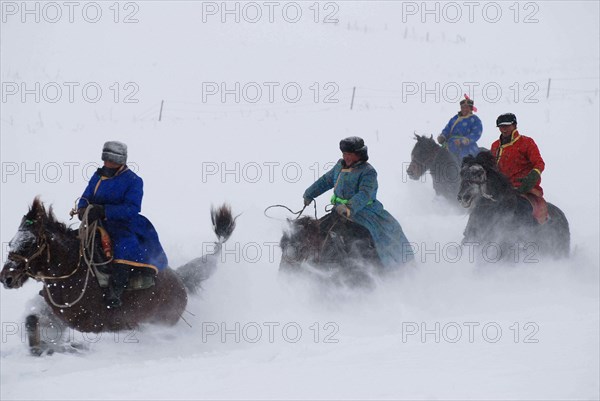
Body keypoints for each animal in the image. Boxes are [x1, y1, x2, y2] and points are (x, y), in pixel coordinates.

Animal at [1, 197, 236, 354]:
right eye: (12, 242)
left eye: (30, 244)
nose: (6, 278)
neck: (72, 272)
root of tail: (180, 280)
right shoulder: (58, 312)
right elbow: (33, 319)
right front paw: (40, 347)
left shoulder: (89, 323)